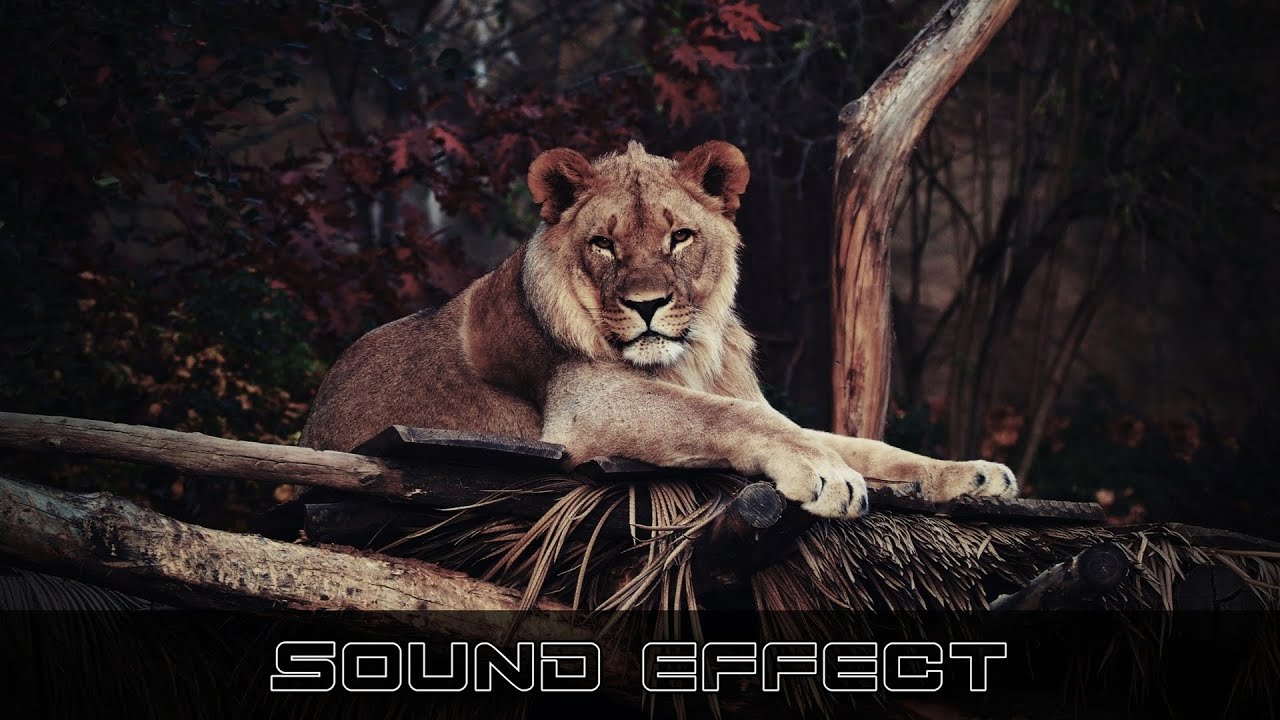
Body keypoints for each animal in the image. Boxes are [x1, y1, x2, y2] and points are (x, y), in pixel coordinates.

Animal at [299, 141, 1016, 517]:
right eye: (604, 245)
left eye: (680, 237)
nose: (647, 304)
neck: (688, 358)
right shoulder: (586, 407)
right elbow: (732, 420)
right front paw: (824, 473)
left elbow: (861, 443)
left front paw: (971, 474)